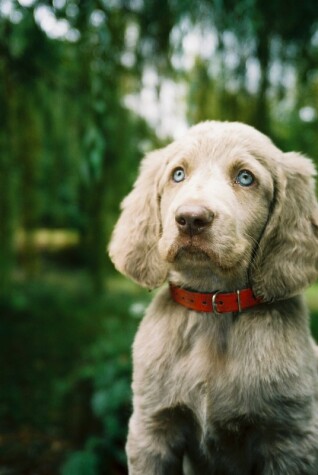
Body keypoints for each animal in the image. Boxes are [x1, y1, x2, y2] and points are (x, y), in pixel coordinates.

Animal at [108, 122, 318, 475]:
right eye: (178, 174)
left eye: (245, 178)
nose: (191, 218)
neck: (213, 303)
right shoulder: (151, 428)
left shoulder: (289, 437)